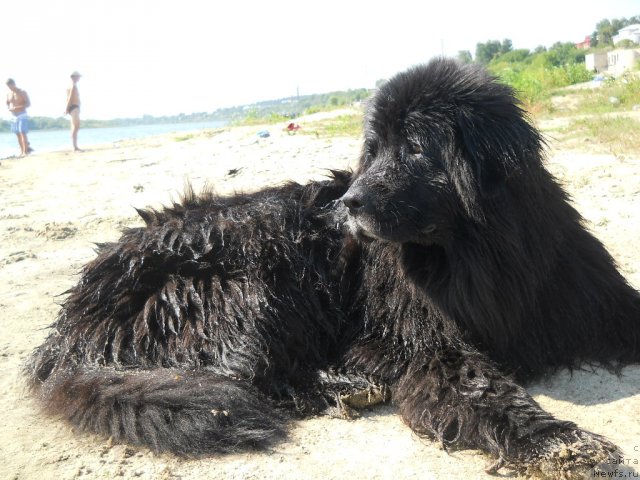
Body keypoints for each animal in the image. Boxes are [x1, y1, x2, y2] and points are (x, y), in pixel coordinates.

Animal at [26, 59, 640, 476]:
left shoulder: (579, 290)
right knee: (246, 378)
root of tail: (67, 326)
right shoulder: (432, 343)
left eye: (415, 148)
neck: (476, 253)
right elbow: (483, 388)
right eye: (374, 147)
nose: (349, 202)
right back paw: (347, 384)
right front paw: (563, 443)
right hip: (251, 282)